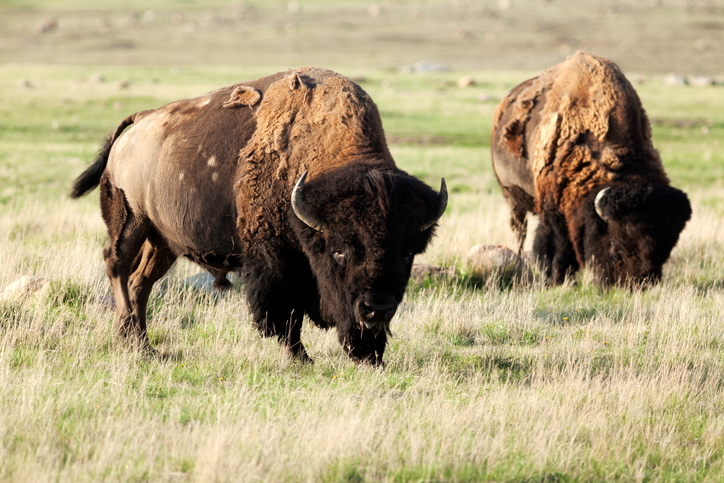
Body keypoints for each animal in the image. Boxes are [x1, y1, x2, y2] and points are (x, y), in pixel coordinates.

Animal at [71, 67, 447, 364]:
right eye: (339, 250)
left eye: (408, 254)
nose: (376, 308)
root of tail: (140, 121)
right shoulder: (277, 259)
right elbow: (286, 311)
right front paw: (301, 357)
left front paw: (370, 356)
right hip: (130, 220)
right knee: (116, 264)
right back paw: (129, 335)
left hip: (163, 240)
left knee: (141, 281)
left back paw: (143, 345)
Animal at [491, 51, 691, 287]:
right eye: (616, 247)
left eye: (665, 249)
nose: (636, 285)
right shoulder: (552, 209)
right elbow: (555, 246)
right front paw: (556, 278)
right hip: (511, 196)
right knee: (520, 231)